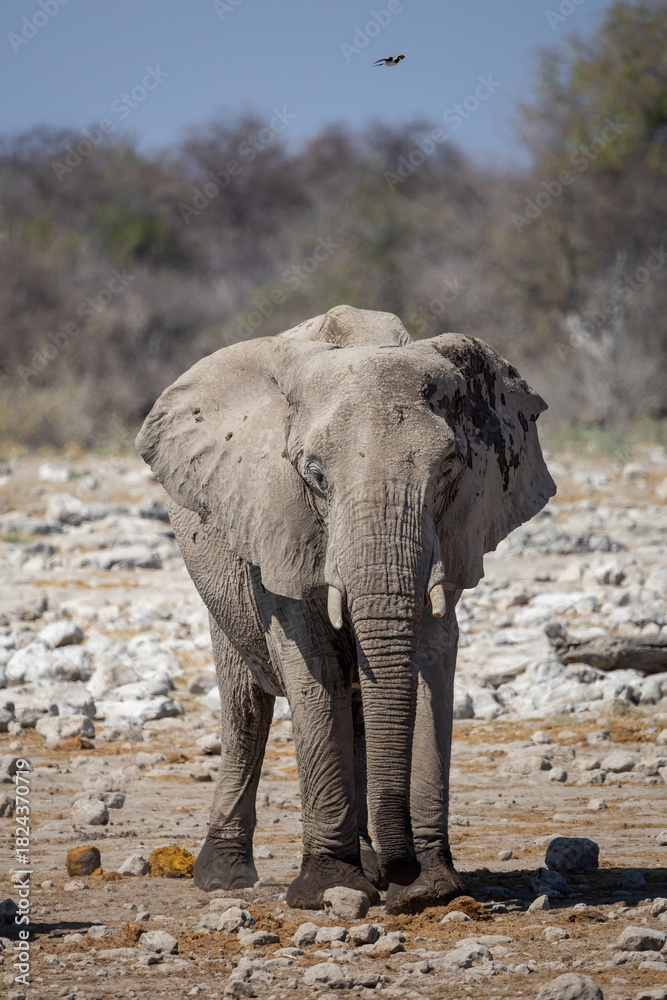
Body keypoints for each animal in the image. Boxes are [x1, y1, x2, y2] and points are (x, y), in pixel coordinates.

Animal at [136, 304, 556, 914]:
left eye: (449, 469)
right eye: (314, 476)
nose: (404, 874)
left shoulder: (456, 531)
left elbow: (432, 661)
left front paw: (432, 887)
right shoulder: (277, 520)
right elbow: (313, 668)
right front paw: (329, 887)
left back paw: (370, 864)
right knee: (247, 708)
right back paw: (225, 877)